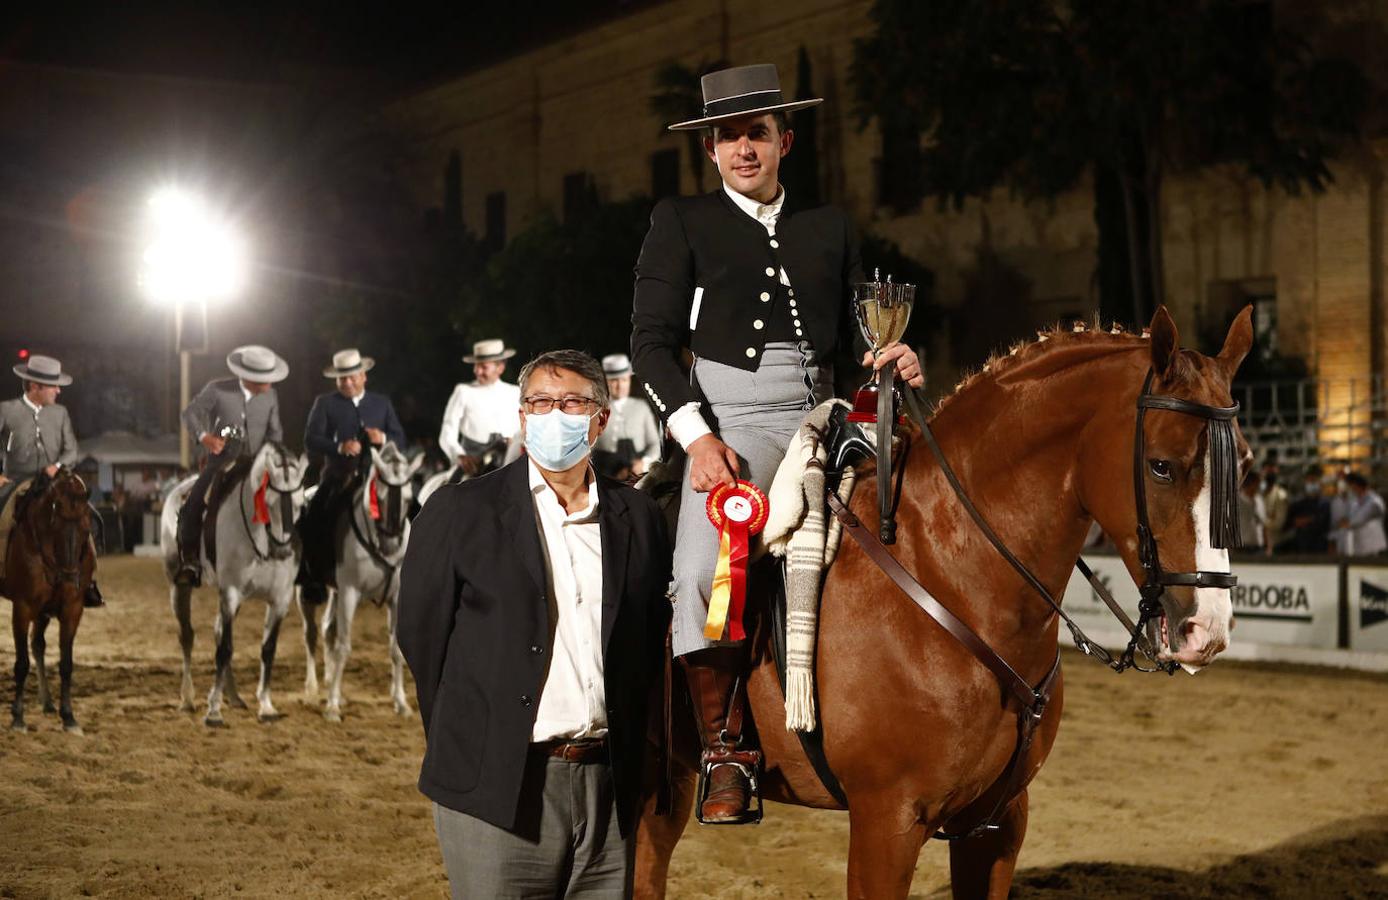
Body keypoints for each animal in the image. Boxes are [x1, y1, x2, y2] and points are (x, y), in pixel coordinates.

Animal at [2, 466, 95, 733]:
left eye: (86, 529)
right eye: (56, 528)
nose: (70, 578)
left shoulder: (72, 609)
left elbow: (66, 664)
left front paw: (69, 717)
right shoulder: (22, 607)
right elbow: (21, 663)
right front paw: (18, 718)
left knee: (38, 644)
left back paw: (47, 702)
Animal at [159, 438, 309, 727]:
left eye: (300, 505)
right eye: (268, 503)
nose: (283, 550)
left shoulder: (280, 600)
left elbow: (267, 650)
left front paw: (266, 706)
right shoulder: (230, 593)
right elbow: (225, 649)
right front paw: (213, 712)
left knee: (218, 631)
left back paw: (234, 696)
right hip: (178, 585)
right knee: (187, 636)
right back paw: (188, 699)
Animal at [303, 444, 427, 722]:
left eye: (407, 498)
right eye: (378, 497)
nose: (391, 546)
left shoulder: (396, 599)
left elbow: (396, 650)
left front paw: (401, 703)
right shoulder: (350, 592)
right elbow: (344, 647)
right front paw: (332, 707)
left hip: (335, 591)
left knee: (327, 629)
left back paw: (329, 682)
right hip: (307, 590)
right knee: (311, 633)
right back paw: (313, 689)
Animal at [638, 305, 1260, 894]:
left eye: (1245, 465)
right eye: (1161, 466)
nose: (1207, 629)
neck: (951, 577)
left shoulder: (999, 823)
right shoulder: (886, 823)